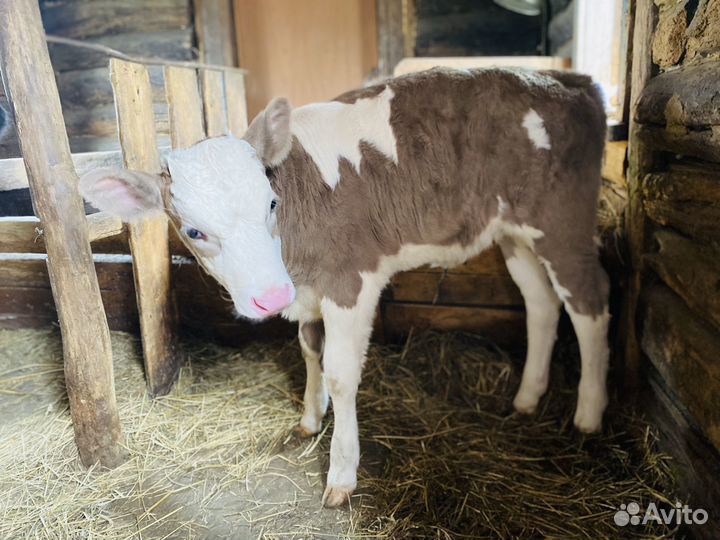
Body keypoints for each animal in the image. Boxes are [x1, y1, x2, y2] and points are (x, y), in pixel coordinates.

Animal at [80, 67, 610, 508]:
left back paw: (588, 414)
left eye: (272, 203)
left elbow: (340, 372)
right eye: (193, 231)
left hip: (561, 223)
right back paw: (526, 398)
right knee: (541, 302)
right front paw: (310, 419)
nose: (272, 296)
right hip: (514, 234)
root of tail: (568, 79)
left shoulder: (349, 281)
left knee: (589, 304)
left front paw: (340, 473)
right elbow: (309, 350)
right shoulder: (309, 292)